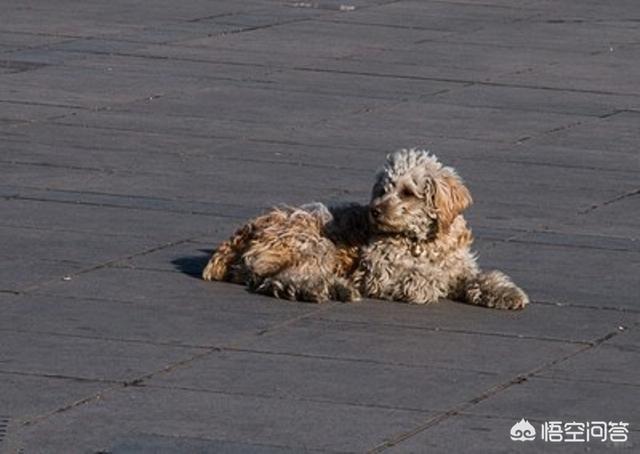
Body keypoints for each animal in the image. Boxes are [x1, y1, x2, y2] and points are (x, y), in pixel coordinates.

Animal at [202, 148, 528, 308]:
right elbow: (421, 277)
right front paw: (433, 283)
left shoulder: (461, 266)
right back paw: (331, 289)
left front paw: (505, 293)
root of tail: (242, 232)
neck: (422, 242)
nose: (375, 210)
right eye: (383, 189)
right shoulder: (379, 274)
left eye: (407, 192)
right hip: (313, 243)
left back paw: (336, 288)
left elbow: (480, 277)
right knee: (284, 279)